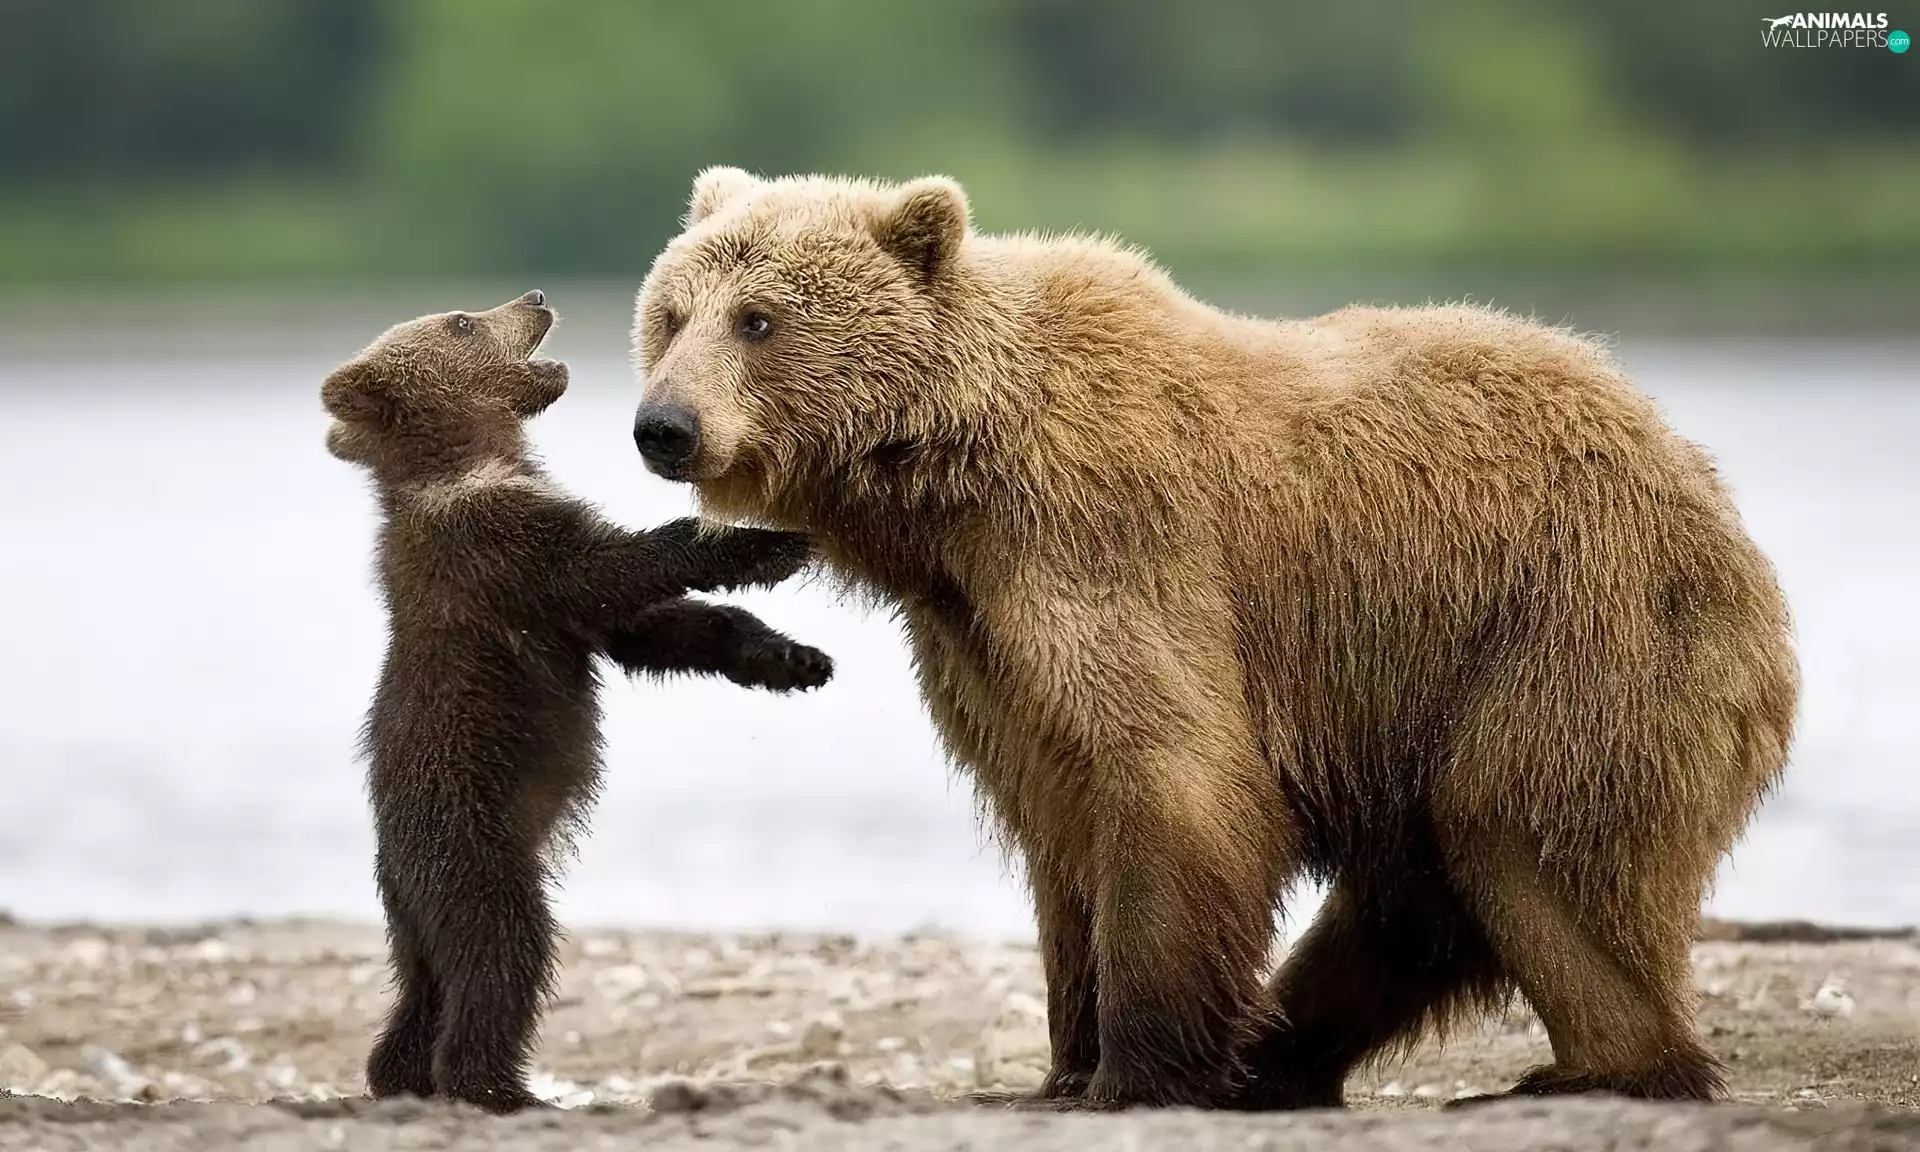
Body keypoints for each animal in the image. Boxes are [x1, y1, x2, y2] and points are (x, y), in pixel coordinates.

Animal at [323, 289, 833, 1113]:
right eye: (462, 321)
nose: (534, 298)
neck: (469, 463)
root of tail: (397, 869)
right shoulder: (498, 551)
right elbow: (612, 571)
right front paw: (765, 543)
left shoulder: (546, 595)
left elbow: (648, 630)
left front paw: (795, 658)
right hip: (477, 850)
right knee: (503, 955)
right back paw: (500, 1088)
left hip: (413, 912)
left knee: (424, 990)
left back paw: (399, 1075)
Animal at [624, 169, 1799, 1111]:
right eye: (671, 314)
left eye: (759, 320)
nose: (662, 426)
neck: (943, 484)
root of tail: (1715, 501)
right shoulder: (977, 630)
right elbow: (1059, 810)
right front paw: (1066, 1062)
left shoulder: (1100, 539)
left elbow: (1172, 771)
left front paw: (1132, 1074)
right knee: (1422, 891)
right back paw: (1283, 1055)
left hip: (1574, 623)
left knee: (1526, 839)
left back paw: (1593, 1066)